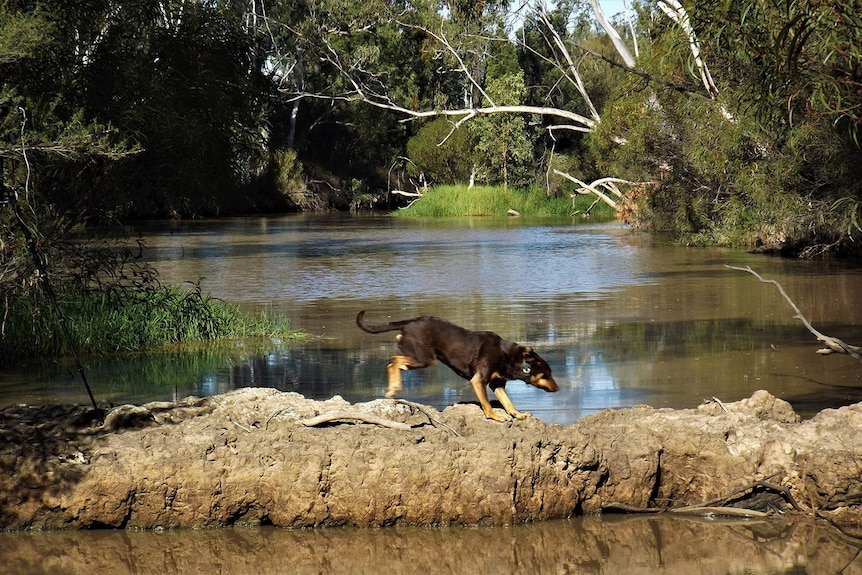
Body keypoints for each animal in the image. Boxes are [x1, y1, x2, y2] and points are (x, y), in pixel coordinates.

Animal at [356, 312, 560, 420]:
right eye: (547, 374)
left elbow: (508, 402)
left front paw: (517, 414)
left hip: (420, 357)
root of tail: (410, 321)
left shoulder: (497, 384)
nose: (558, 389)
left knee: (394, 361)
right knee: (394, 360)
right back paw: (394, 388)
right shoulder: (478, 380)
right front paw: (495, 416)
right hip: (424, 358)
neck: (513, 357)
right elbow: (487, 403)